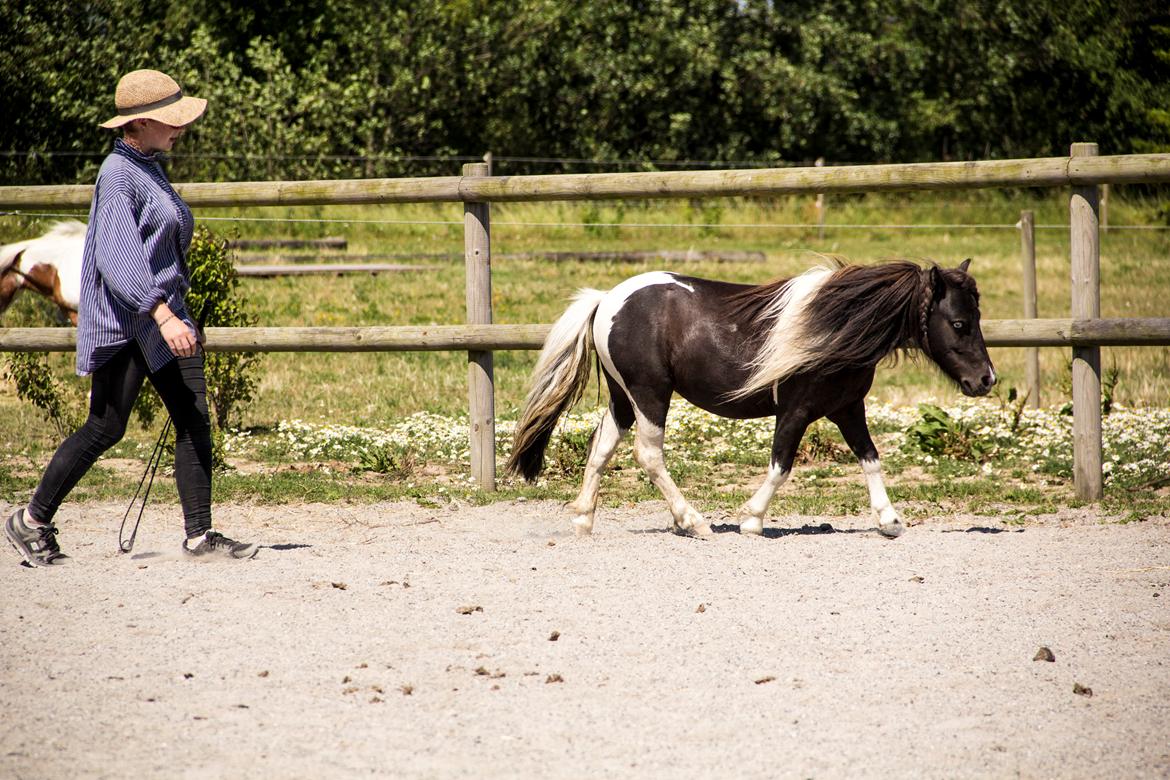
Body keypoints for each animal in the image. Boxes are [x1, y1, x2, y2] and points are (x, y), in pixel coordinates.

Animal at [507, 259, 992, 540]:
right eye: (960, 323)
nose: (986, 379)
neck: (833, 329)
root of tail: (607, 299)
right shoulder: (795, 411)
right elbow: (781, 465)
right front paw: (751, 520)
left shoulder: (847, 409)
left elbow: (870, 459)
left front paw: (889, 521)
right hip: (650, 395)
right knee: (649, 455)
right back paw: (694, 522)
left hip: (623, 398)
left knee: (601, 448)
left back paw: (584, 520)